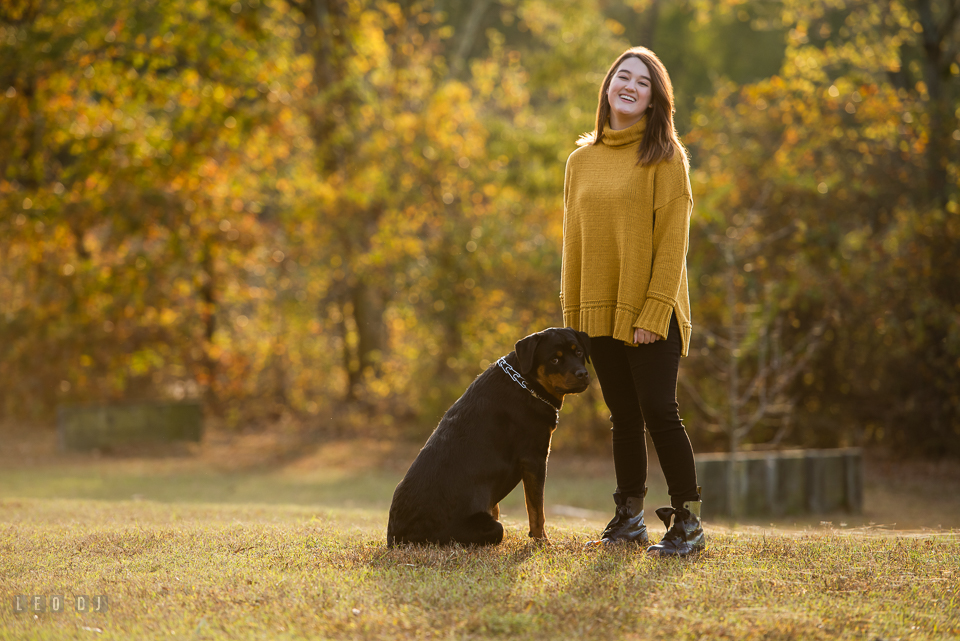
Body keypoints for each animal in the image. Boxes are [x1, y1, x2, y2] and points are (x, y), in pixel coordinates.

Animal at [386, 328, 588, 548]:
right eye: (554, 360)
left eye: (578, 352)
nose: (583, 374)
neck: (526, 384)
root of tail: (396, 537)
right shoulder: (534, 458)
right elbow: (536, 511)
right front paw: (543, 542)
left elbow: (498, 507)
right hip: (489, 529)